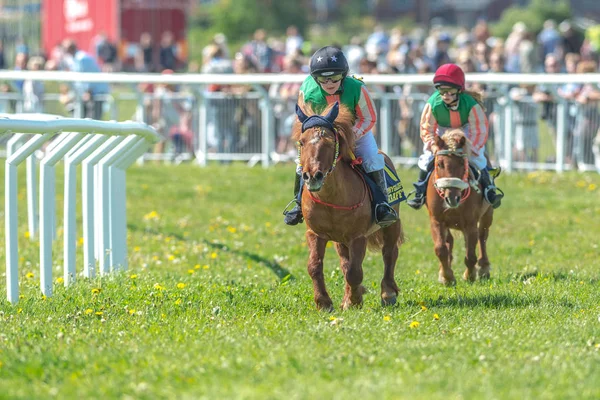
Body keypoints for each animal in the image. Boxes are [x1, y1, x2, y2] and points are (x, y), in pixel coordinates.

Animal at [294, 101, 406, 310]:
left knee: (389, 253)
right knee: (345, 262)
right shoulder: (316, 234)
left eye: (330, 142)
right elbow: (315, 266)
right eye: (302, 142)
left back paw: (387, 293)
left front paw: (355, 300)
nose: (312, 176)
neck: (332, 199)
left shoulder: (357, 236)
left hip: (393, 223)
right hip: (340, 239)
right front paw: (324, 302)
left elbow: (355, 272)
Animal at [428, 129, 494, 284]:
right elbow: (441, 249)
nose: (452, 198)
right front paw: (447, 276)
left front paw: (469, 275)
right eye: (440, 163)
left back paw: (484, 268)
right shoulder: (436, 220)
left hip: (487, 215)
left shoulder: (470, 223)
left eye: (461, 163)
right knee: (450, 241)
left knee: (482, 236)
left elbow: (470, 255)